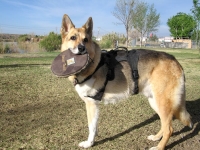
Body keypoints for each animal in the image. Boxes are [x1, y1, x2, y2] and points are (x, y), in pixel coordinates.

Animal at [60, 14, 193, 150]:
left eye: (86, 40)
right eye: (73, 38)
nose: (81, 48)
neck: (92, 65)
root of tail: (175, 61)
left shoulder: (91, 104)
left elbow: (91, 128)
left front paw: (88, 144)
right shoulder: (94, 105)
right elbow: (94, 127)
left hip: (162, 103)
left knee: (169, 129)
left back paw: (159, 147)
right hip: (155, 102)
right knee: (165, 124)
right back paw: (156, 138)